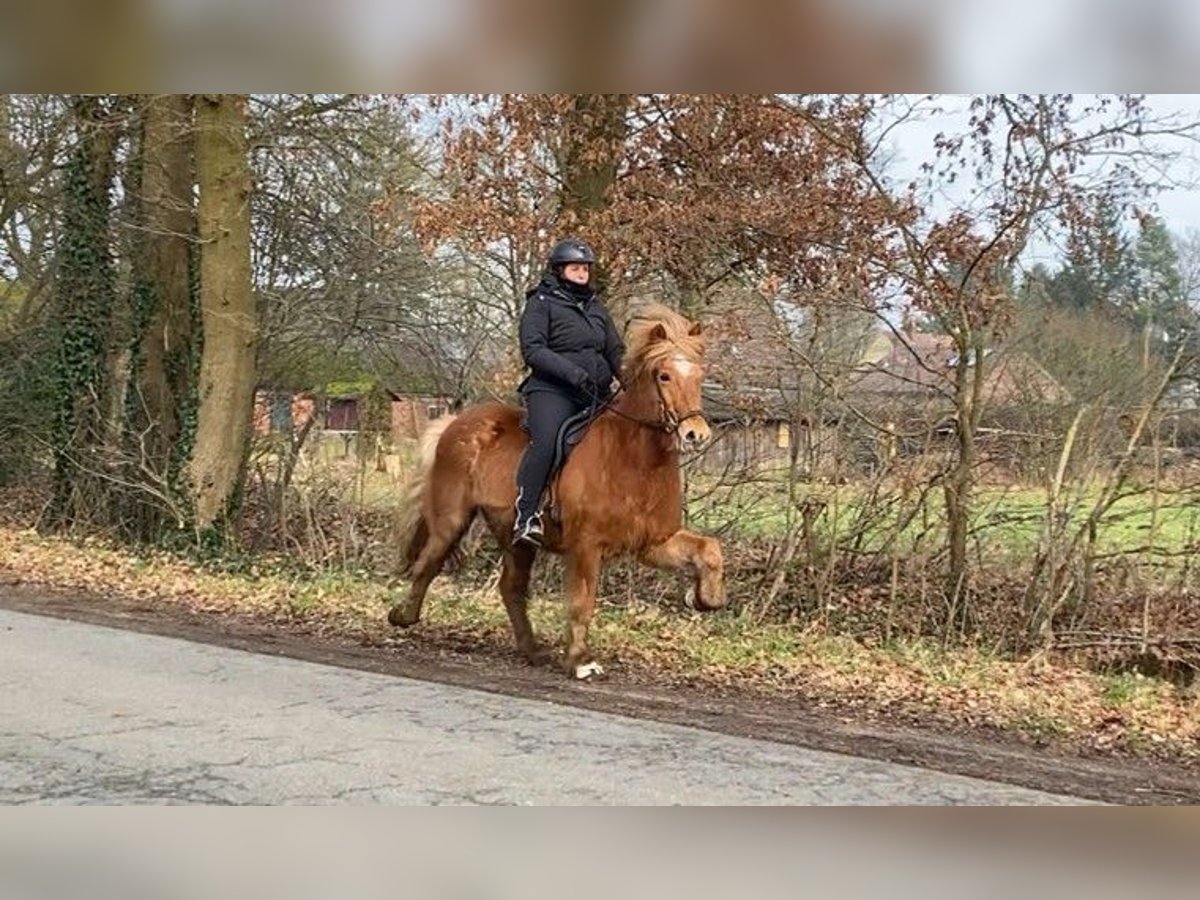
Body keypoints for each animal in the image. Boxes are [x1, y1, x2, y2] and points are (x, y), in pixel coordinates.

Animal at [386, 300, 720, 681]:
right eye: (663, 375)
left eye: (699, 376)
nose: (696, 434)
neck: (632, 458)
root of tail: (455, 423)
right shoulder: (587, 545)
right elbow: (582, 602)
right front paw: (580, 661)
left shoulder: (652, 542)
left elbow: (710, 550)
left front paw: (704, 598)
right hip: (451, 518)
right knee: (428, 563)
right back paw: (402, 616)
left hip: (514, 536)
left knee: (511, 587)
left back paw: (532, 650)